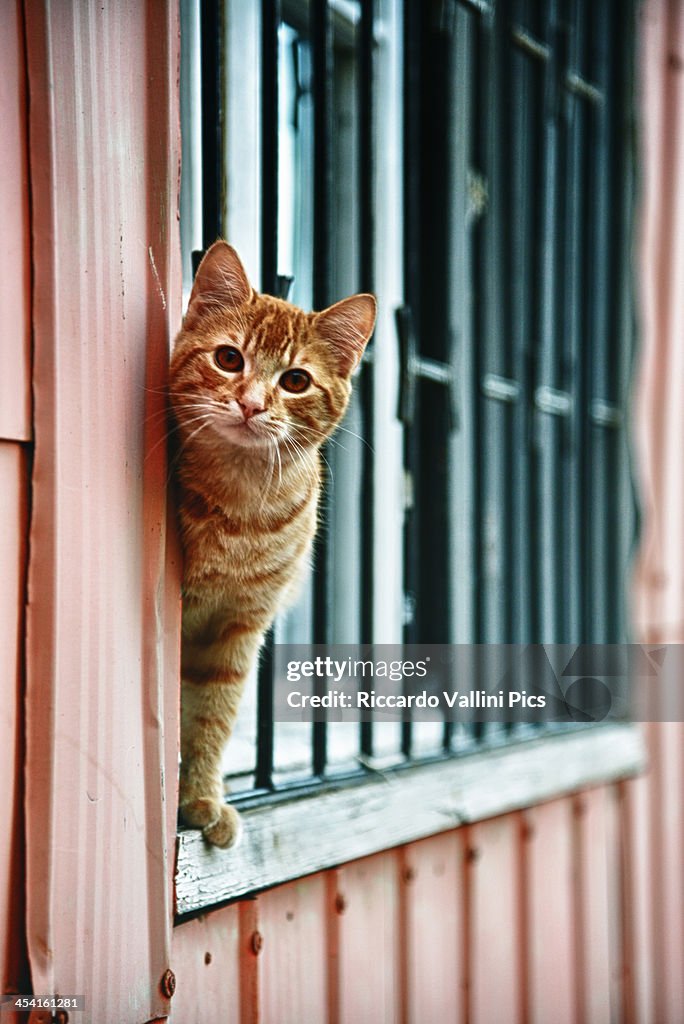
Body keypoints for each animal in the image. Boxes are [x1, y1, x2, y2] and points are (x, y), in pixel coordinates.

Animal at [168, 241, 376, 847]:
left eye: (296, 381)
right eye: (229, 359)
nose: (252, 404)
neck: (242, 512)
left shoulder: (238, 629)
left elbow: (212, 716)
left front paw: (201, 797)